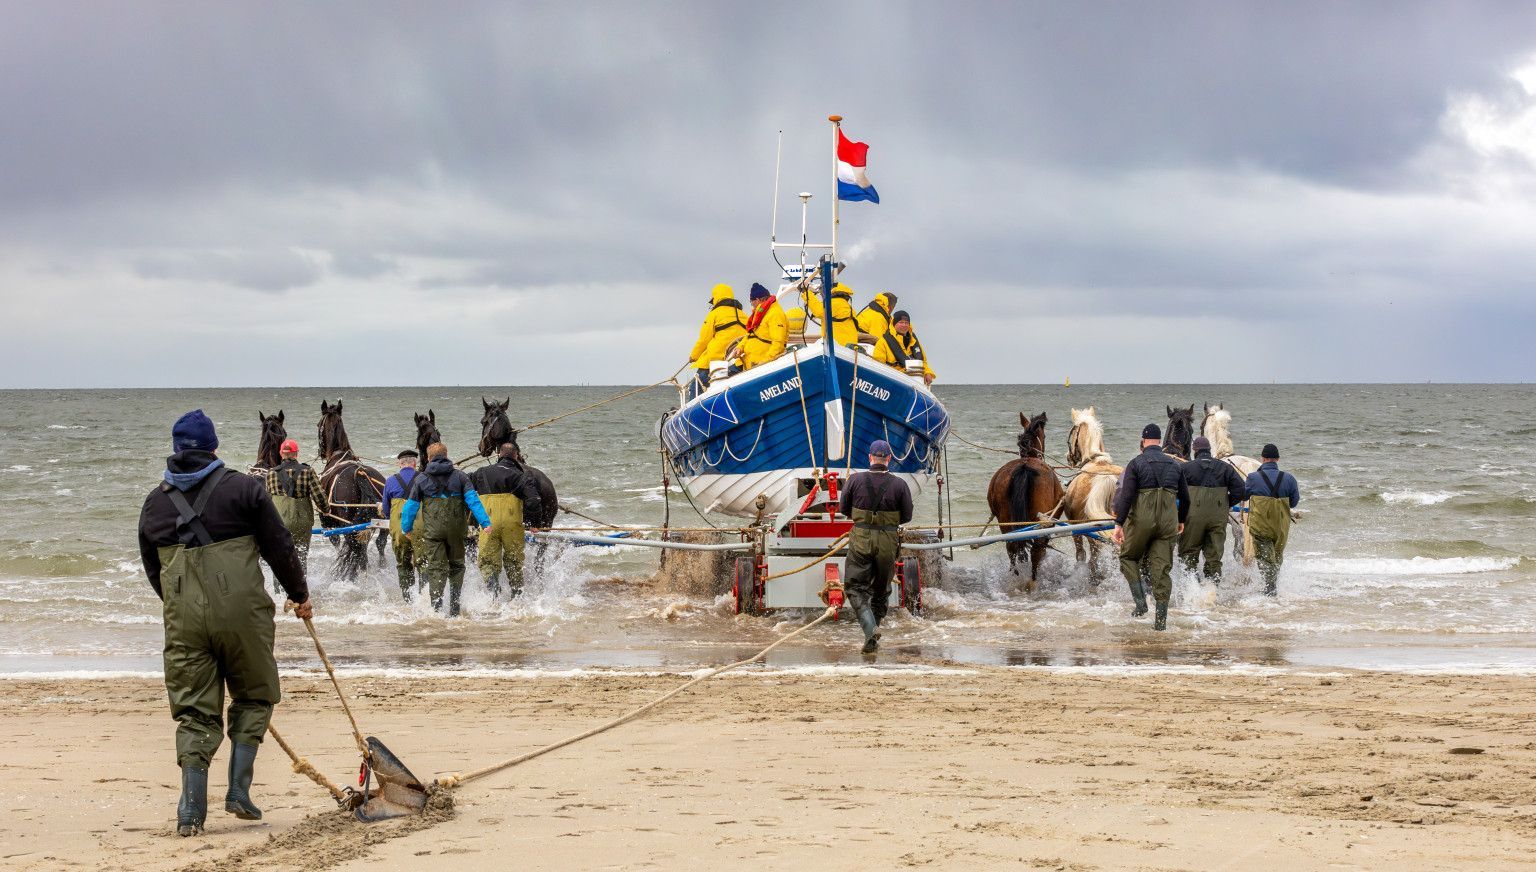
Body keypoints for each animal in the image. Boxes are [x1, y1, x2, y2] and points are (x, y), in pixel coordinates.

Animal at [314, 399, 387, 580]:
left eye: (318, 424)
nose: (321, 453)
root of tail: (360, 474)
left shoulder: (328, 522)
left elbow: (337, 543)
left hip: (347, 523)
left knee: (353, 547)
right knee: (379, 543)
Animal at [989, 411, 1062, 589]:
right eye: (1045, 436)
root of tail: (1024, 467)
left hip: (1005, 520)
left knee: (1012, 546)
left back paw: (1015, 576)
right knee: (1037, 549)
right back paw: (1033, 580)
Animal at [1062, 405, 1124, 583]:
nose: (1069, 457)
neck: (1097, 461)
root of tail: (1107, 477)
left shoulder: (1076, 528)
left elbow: (1080, 554)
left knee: (1094, 555)